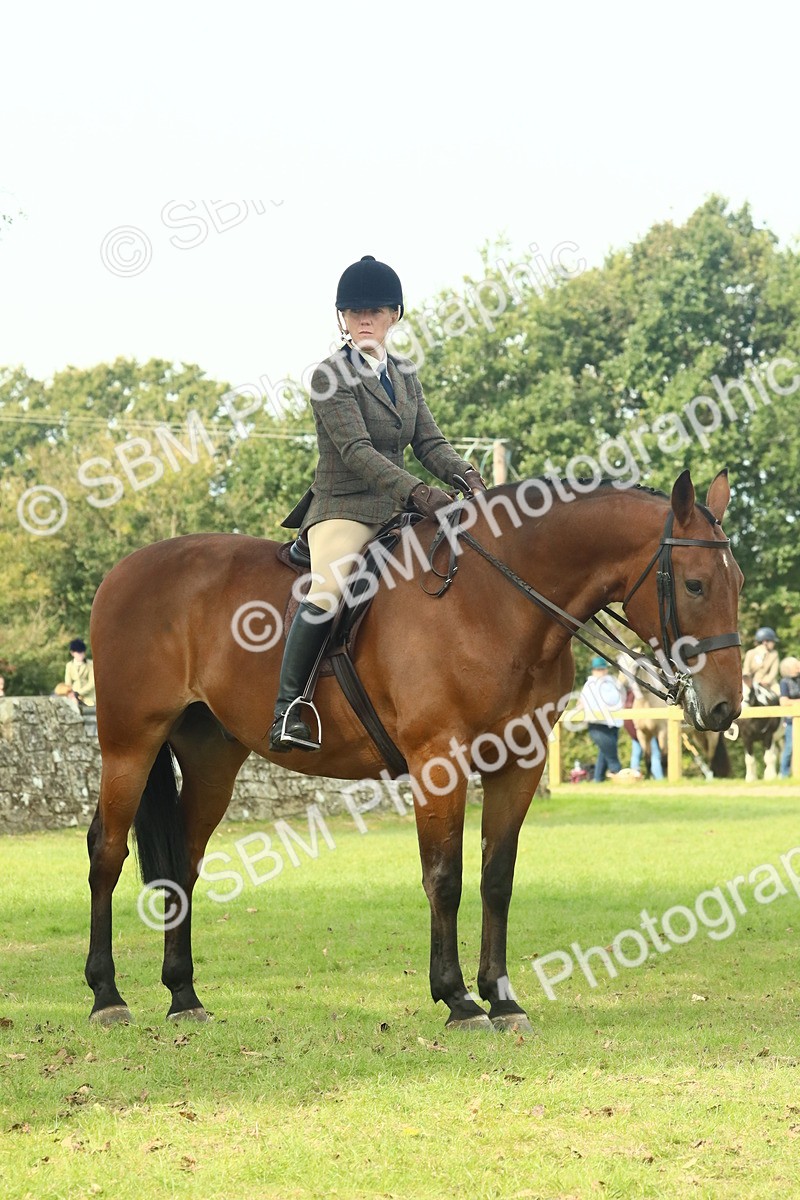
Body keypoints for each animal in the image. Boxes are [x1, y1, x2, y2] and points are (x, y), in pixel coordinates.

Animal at [84, 468, 743, 1033]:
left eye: (736, 584)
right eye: (694, 584)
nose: (724, 708)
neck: (496, 602)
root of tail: (122, 571)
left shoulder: (519, 764)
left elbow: (497, 877)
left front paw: (503, 999)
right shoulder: (438, 760)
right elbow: (445, 877)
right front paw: (458, 1000)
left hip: (211, 760)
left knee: (183, 866)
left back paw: (184, 996)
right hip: (129, 745)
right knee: (107, 853)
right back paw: (107, 996)